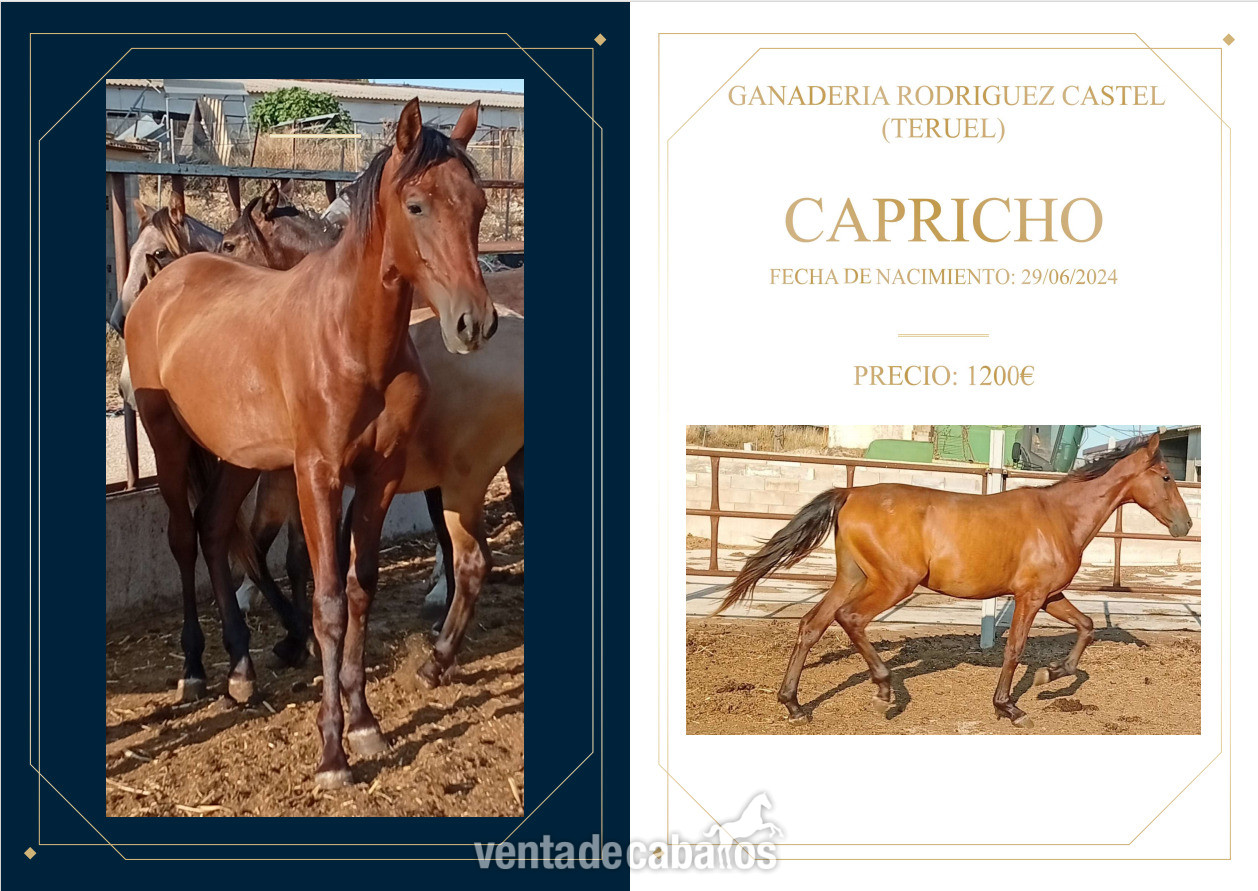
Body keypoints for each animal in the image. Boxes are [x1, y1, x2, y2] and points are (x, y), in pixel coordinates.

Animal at [717, 434, 1192, 728]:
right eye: (1166, 477)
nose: (1185, 525)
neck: (1059, 516)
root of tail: (850, 493)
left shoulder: (1051, 594)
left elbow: (1087, 628)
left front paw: (1050, 676)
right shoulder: (1031, 596)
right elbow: (1015, 649)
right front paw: (1009, 707)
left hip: (851, 577)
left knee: (811, 625)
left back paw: (794, 705)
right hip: (893, 583)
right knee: (850, 620)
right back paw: (884, 691)